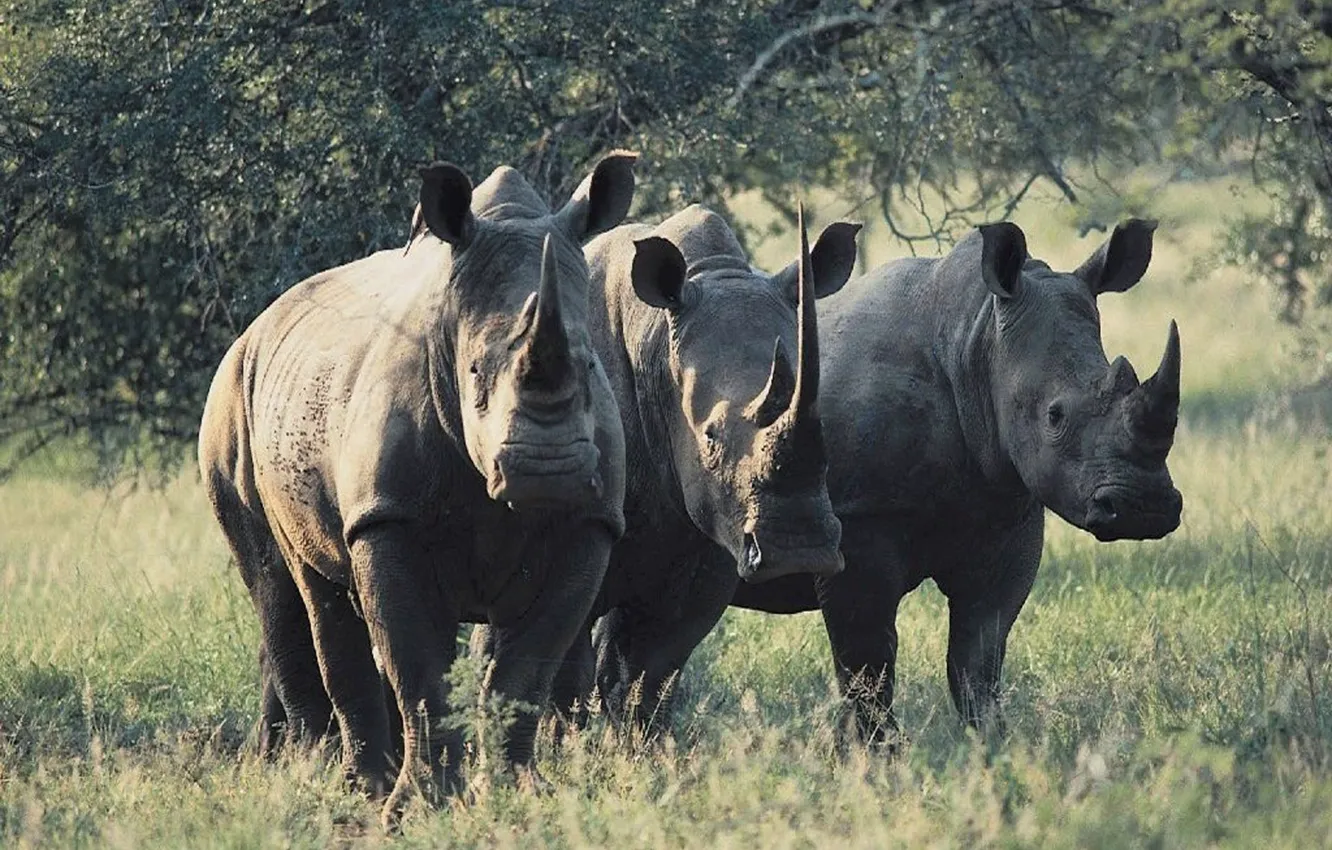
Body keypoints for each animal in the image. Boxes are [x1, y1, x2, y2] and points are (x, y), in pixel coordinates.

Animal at [198, 153, 636, 826]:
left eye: (591, 366)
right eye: (474, 370)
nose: (548, 469)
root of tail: (259, 322)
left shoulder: (589, 523)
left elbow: (526, 672)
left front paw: (517, 797)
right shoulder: (388, 517)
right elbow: (420, 670)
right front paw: (415, 813)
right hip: (230, 399)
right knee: (291, 588)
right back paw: (339, 784)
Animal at [597, 218, 1183, 738]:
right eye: (1055, 417)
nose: (1143, 508)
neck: (975, 341)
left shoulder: (1007, 506)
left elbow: (979, 658)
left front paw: (994, 748)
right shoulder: (860, 524)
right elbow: (869, 662)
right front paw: (876, 760)